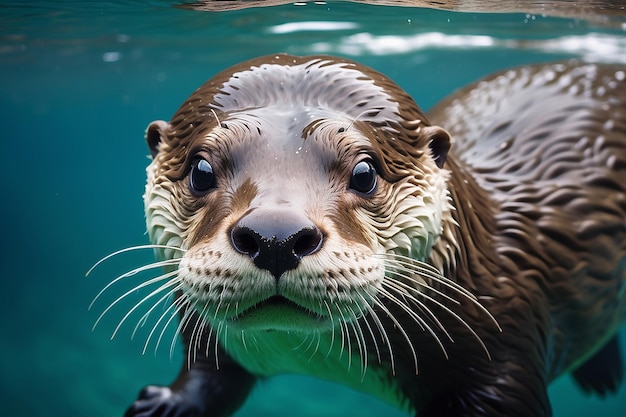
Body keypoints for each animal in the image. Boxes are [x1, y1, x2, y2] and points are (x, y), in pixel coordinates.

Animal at [109, 55, 620, 416]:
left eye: (364, 173)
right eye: (200, 171)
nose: (275, 236)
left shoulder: (505, 357)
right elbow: (209, 373)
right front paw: (164, 403)